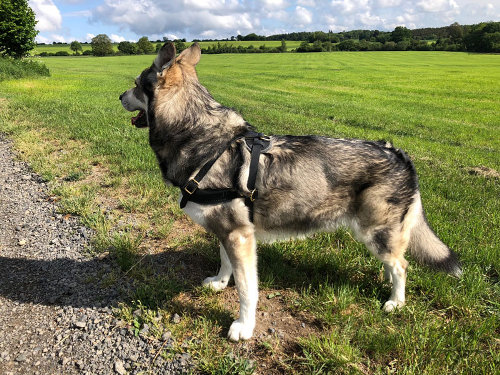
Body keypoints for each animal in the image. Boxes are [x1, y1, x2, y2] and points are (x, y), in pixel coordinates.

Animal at [120, 42, 460, 342]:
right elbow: (225, 263)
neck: (201, 138)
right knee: (395, 263)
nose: (119, 95)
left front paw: (243, 327)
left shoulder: (240, 237)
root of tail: (398, 152)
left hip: (374, 232)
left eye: (136, 85)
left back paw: (395, 302)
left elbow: (247, 291)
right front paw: (219, 283)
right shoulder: (228, 233)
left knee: (402, 266)